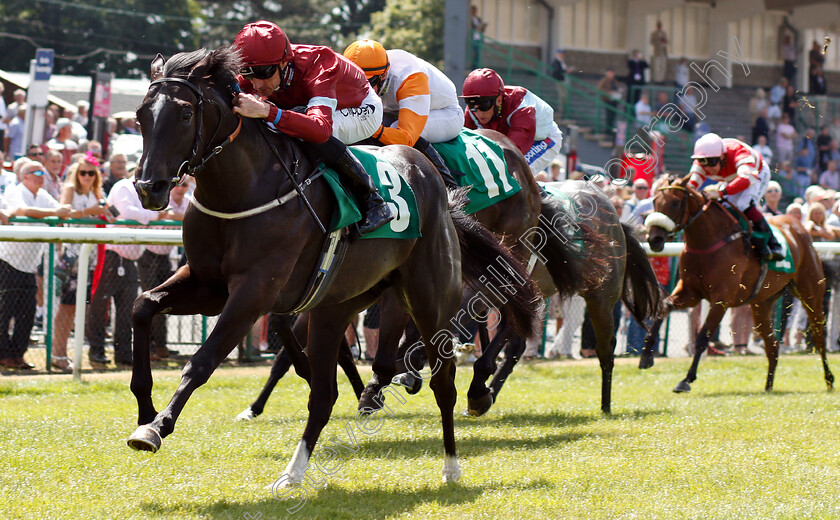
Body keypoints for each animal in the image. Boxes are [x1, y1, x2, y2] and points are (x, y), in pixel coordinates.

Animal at [128, 46, 540, 486]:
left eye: (186, 114)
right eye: (140, 114)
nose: (149, 188)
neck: (245, 189)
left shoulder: (253, 293)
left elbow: (202, 361)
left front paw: (157, 426)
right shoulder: (209, 285)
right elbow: (143, 305)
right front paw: (145, 409)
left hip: (433, 294)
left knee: (446, 376)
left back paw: (453, 457)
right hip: (336, 305)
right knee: (325, 395)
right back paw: (294, 472)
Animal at [640, 174, 832, 390]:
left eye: (674, 202)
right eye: (654, 201)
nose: (654, 239)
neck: (708, 241)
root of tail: (798, 226)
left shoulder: (721, 299)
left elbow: (703, 337)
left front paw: (686, 379)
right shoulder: (690, 292)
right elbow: (663, 307)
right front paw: (646, 355)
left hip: (811, 292)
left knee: (819, 334)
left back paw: (829, 379)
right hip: (761, 304)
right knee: (772, 346)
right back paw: (768, 386)